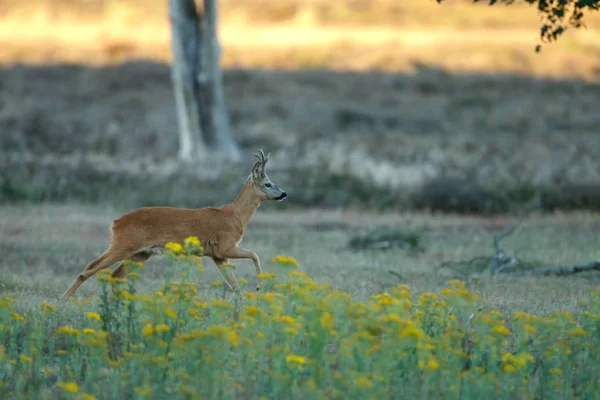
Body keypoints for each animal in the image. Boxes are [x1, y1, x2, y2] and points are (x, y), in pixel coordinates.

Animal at [61, 150, 286, 300]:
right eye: (268, 183)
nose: (284, 193)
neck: (234, 215)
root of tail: (116, 223)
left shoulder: (217, 255)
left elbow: (234, 285)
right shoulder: (225, 246)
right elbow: (255, 255)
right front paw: (260, 288)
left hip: (141, 253)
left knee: (115, 276)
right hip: (123, 245)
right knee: (90, 268)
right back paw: (62, 300)